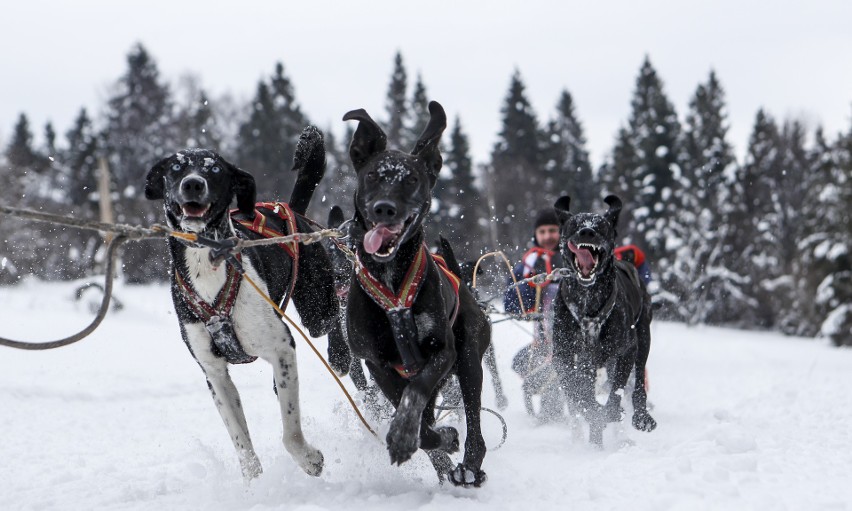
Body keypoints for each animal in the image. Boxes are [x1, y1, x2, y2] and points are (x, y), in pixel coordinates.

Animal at [143, 128, 336, 480]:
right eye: (176, 167)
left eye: (215, 169)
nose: (193, 183)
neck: (207, 262)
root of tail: (290, 210)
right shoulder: (214, 373)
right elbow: (242, 446)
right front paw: (254, 483)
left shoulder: (281, 346)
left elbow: (290, 432)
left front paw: (309, 458)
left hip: (318, 311)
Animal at [336, 101, 490, 488]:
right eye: (373, 176)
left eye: (411, 179)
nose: (384, 208)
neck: (391, 280)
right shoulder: (377, 364)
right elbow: (420, 423)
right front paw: (434, 439)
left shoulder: (441, 351)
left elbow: (415, 394)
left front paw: (406, 435)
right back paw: (446, 464)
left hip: (469, 357)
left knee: (475, 420)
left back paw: (470, 466)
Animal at [548, 197, 656, 448]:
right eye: (575, 224)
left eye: (601, 226)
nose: (587, 232)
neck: (588, 305)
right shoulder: (565, 357)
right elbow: (578, 393)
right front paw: (594, 414)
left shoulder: (627, 349)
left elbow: (616, 393)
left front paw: (610, 413)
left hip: (643, 337)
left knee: (638, 384)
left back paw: (640, 417)